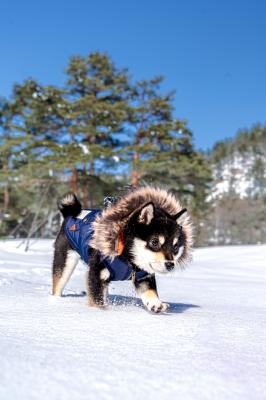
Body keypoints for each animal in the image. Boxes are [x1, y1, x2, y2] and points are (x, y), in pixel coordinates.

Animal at [52, 187, 193, 312]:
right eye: (154, 242)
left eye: (175, 246)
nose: (170, 265)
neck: (128, 260)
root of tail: (71, 214)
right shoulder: (97, 273)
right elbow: (96, 299)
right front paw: (98, 311)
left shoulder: (143, 276)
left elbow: (150, 291)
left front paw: (156, 304)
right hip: (65, 261)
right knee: (58, 282)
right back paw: (55, 301)